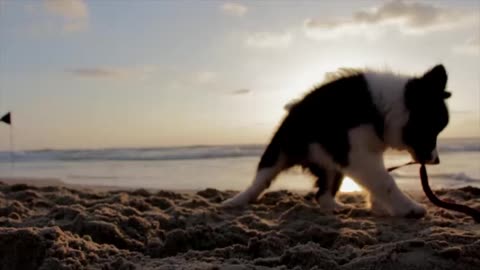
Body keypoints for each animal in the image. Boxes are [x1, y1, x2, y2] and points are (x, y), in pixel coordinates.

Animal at [223, 63, 452, 217]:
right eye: (433, 130)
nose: (437, 160)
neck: (383, 109)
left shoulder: (362, 154)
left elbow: (379, 180)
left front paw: (381, 206)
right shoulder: (356, 153)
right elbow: (385, 180)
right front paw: (408, 208)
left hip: (332, 165)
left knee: (323, 194)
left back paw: (335, 208)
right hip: (280, 150)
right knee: (261, 179)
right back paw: (237, 200)